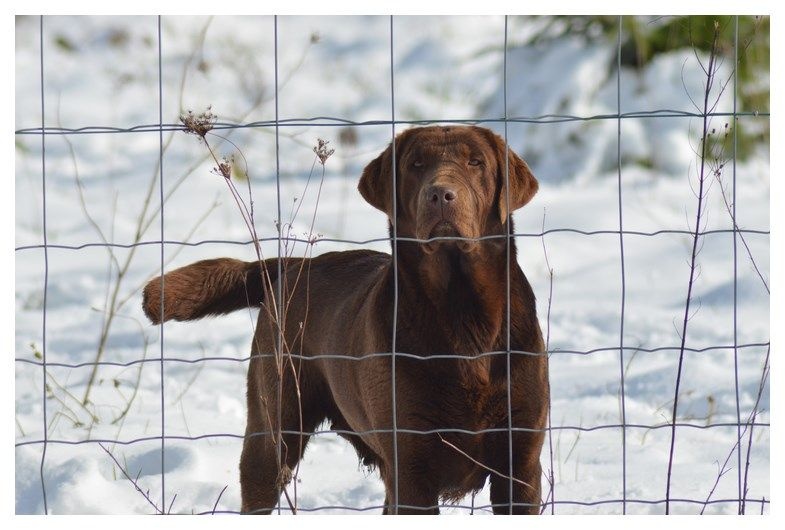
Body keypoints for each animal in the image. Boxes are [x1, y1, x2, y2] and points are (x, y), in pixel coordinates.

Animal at [142, 124, 544, 512]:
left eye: (475, 162)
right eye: (415, 164)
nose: (441, 195)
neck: (462, 313)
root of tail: (295, 266)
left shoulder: (520, 467)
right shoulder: (411, 468)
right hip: (274, 429)